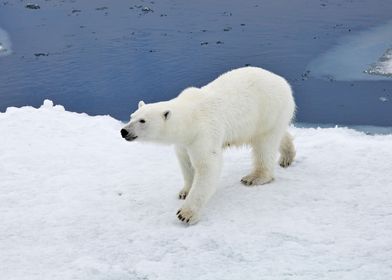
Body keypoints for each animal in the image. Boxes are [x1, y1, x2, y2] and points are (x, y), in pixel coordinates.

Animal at [121, 66, 296, 224]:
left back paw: (255, 177)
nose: (124, 131)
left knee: (265, 144)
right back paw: (287, 156)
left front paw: (186, 214)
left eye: (142, 121)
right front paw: (184, 191)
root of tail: (283, 81)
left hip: (269, 110)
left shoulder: (205, 132)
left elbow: (207, 166)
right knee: (278, 135)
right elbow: (185, 162)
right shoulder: (185, 141)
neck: (190, 117)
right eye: (131, 116)